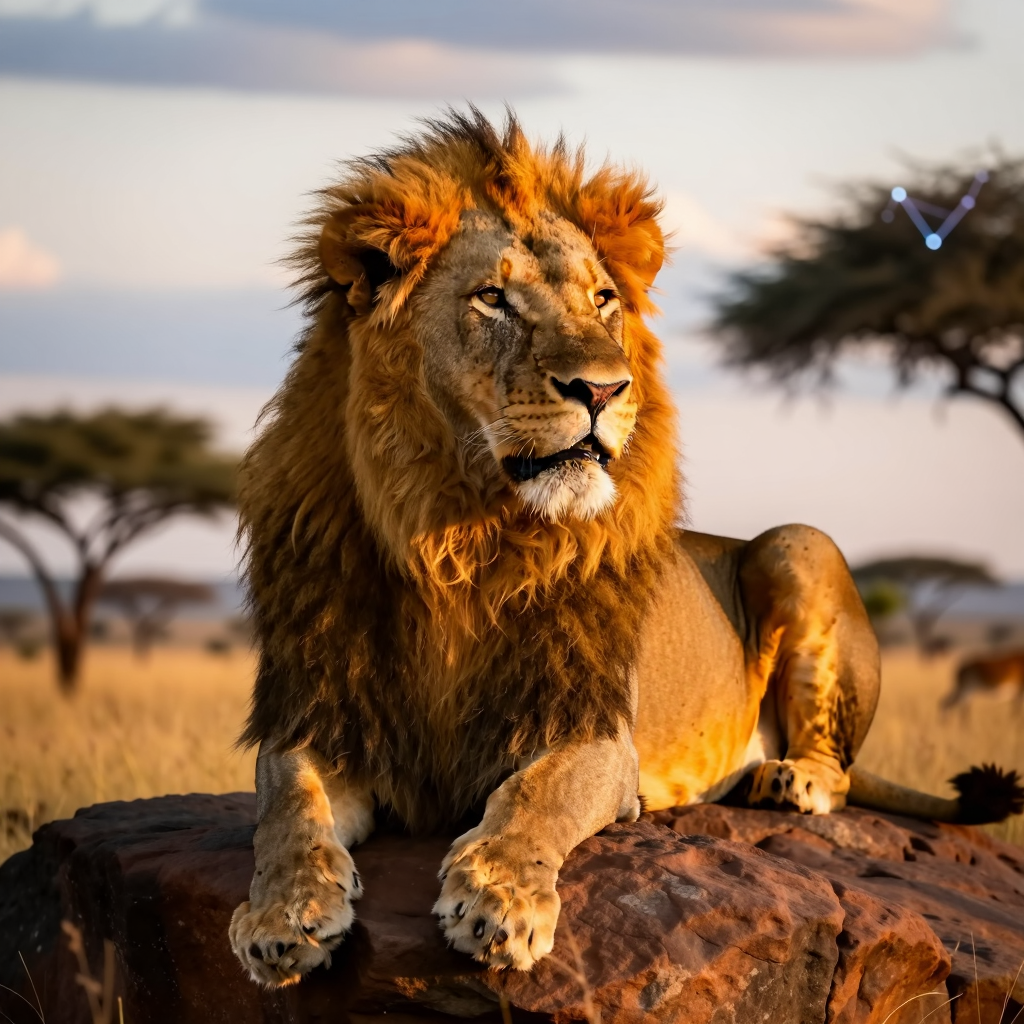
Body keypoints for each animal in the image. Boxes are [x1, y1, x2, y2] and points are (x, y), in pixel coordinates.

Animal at [229, 109, 1023, 987]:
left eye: (603, 299)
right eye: (493, 298)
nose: (605, 389)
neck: (457, 540)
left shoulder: (595, 732)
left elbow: (536, 797)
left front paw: (500, 901)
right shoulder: (325, 714)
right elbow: (287, 810)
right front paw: (281, 914)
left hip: (798, 544)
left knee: (841, 770)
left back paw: (788, 777)